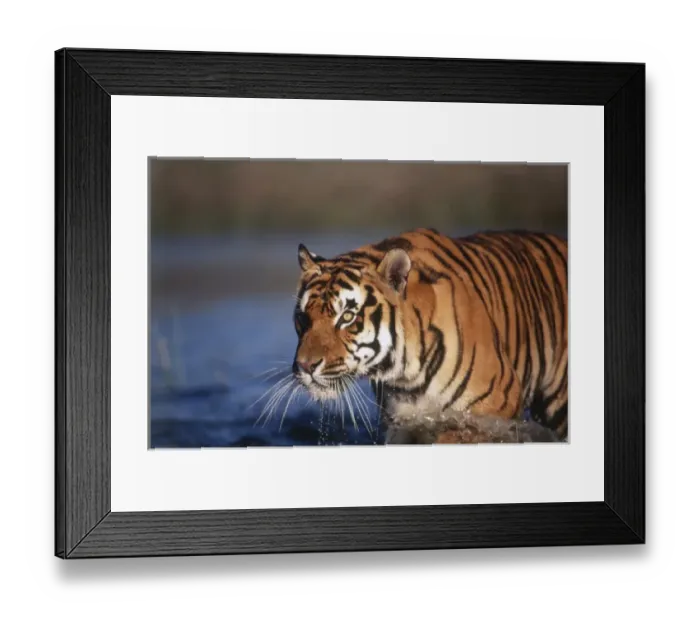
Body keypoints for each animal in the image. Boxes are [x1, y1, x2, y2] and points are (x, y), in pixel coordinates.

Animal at [292, 228, 568, 443]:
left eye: (347, 317)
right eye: (303, 318)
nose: (305, 366)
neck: (406, 376)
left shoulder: (490, 415)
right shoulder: (406, 423)